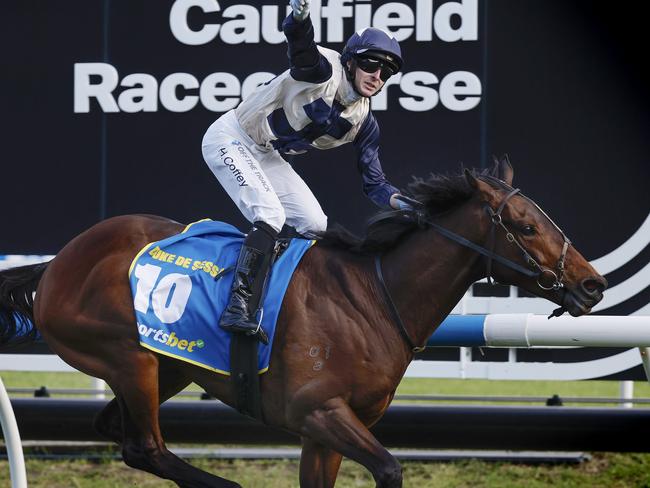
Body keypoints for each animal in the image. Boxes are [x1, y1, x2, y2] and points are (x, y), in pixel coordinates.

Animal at [2, 158, 604, 486]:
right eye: (526, 226)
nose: (591, 284)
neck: (373, 299)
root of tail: (57, 262)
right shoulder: (318, 412)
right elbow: (390, 469)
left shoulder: (327, 432)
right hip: (127, 357)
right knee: (144, 447)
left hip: (168, 361)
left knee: (118, 432)